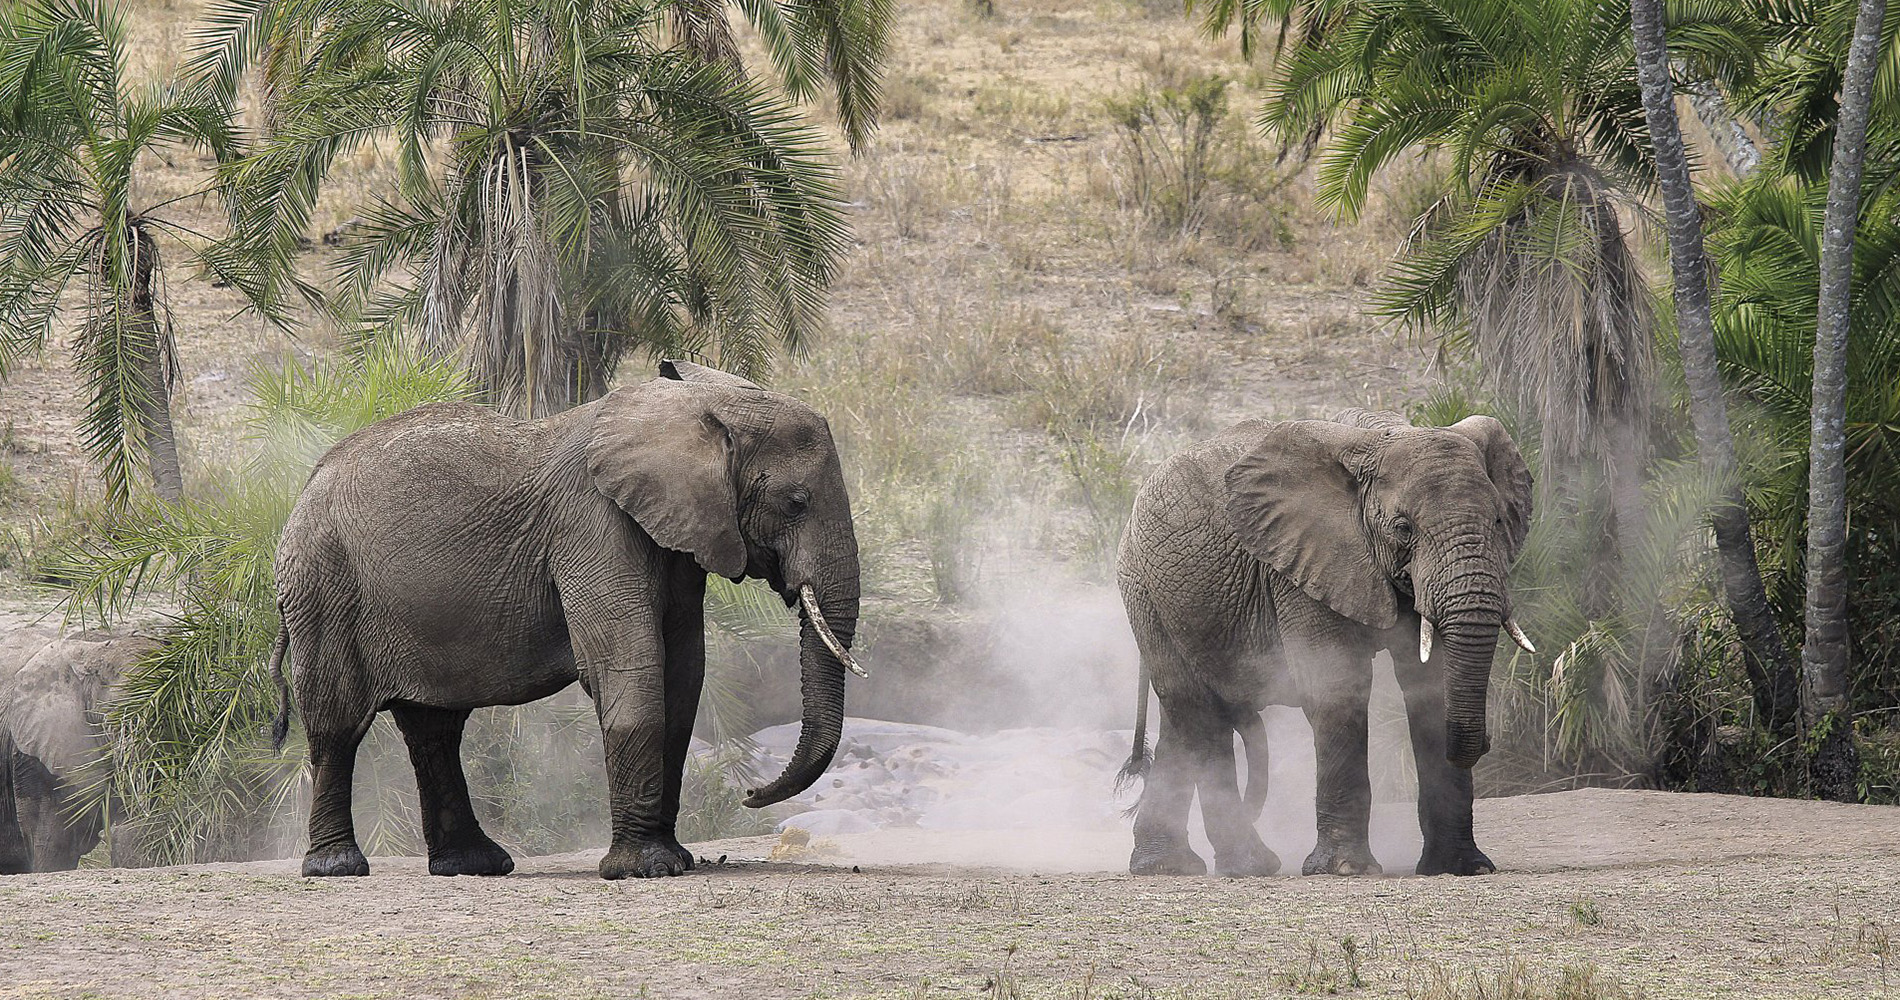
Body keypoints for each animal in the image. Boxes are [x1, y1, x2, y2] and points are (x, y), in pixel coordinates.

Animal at [271, 361, 866, 878]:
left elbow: (682, 677)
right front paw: (644, 870)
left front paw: (675, 860)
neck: (690, 408)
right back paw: (336, 868)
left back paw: (475, 865)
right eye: (796, 502)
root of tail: (303, 490)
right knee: (337, 724)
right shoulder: (592, 524)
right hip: (324, 586)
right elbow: (630, 665)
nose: (750, 795)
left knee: (435, 731)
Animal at [1109, 406, 1535, 878]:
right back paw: (1248, 865)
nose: (1487, 743)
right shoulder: (1298, 564)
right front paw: (1345, 870)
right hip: (1146, 591)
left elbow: (1428, 688)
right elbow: (1335, 690)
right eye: (1403, 528)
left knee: (1183, 720)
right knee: (1198, 715)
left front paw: (1462, 868)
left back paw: (1167, 865)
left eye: (1498, 522)